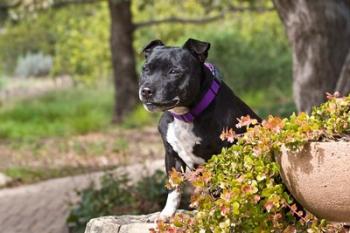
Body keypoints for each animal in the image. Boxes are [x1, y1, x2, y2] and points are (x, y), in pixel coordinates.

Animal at [139, 38, 260, 220]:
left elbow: (221, 189)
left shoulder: (221, 157)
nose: (146, 90)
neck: (184, 115)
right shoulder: (172, 156)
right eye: (146, 69)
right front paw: (166, 215)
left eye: (174, 71)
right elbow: (174, 188)